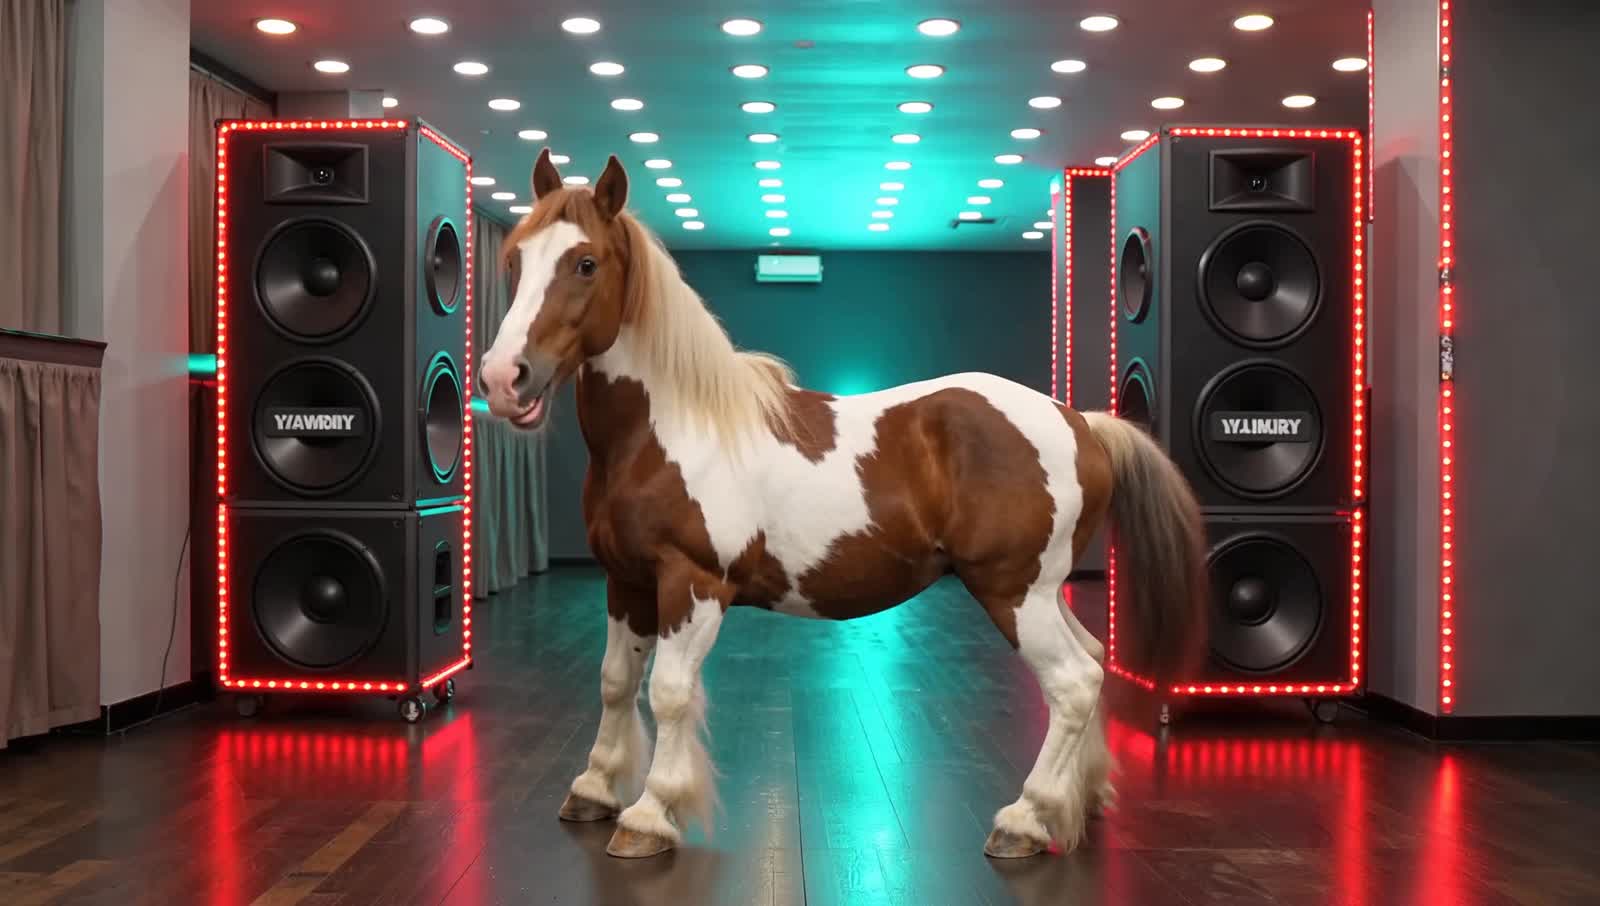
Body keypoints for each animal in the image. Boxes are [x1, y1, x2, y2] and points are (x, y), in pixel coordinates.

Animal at [477, 149, 1209, 860]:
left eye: (586, 263)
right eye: (514, 258)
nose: (503, 379)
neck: (673, 428)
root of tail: (1082, 423)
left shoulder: (692, 583)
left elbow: (669, 692)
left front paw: (651, 814)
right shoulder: (626, 582)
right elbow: (614, 681)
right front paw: (595, 788)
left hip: (1013, 592)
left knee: (1073, 682)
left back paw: (1026, 820)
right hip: (1043, 592)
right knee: (1092, 659)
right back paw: (1081, 798)